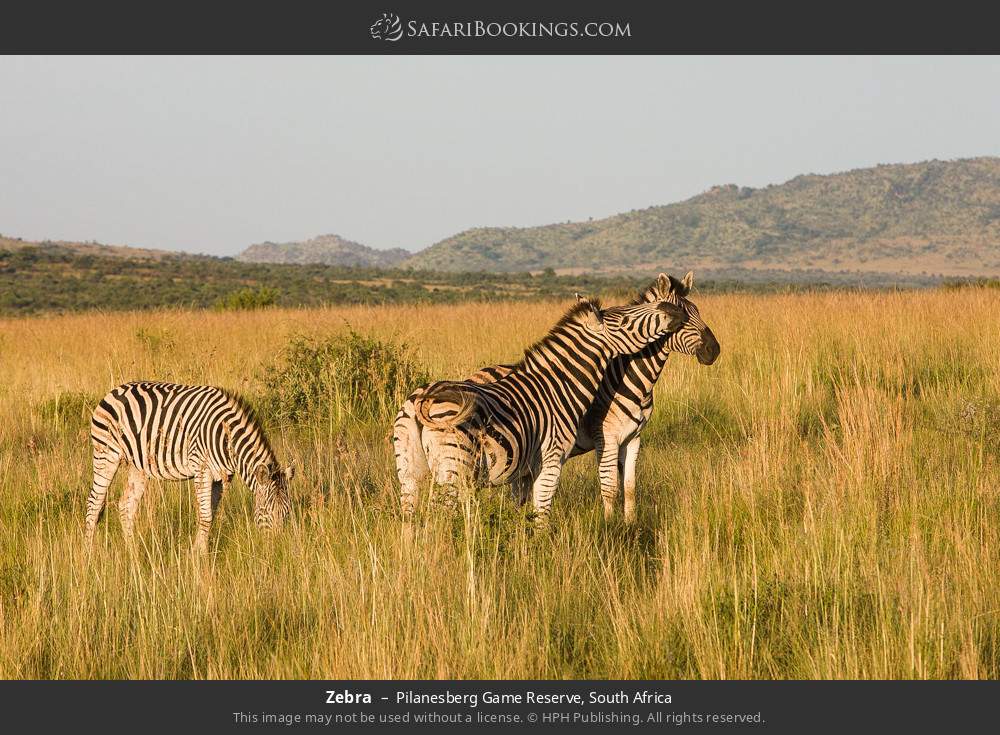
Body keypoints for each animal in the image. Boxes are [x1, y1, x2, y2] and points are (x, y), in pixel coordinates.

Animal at [86, 381, 292, 552]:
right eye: (265, 511)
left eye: (287, 513)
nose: (277, 549)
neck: (227, 440)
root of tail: (113, 391)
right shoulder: (202, 469)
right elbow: (205, 516)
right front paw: (199, 557)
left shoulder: (221, 477)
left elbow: (209, 516)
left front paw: (198, 552)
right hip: (106, 454)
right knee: (94, 502)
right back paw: (90, 554)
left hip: (139, 466)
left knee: (126, 506)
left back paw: (132, 553)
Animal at [394, 272, 719, 525]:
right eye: (685, 316)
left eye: (697, 310)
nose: (714, 350)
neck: (630, 380)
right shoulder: (606, 438)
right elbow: (609, 487)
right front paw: (611, 529)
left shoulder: (633, 438)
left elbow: (629, 487)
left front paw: (630, 526)